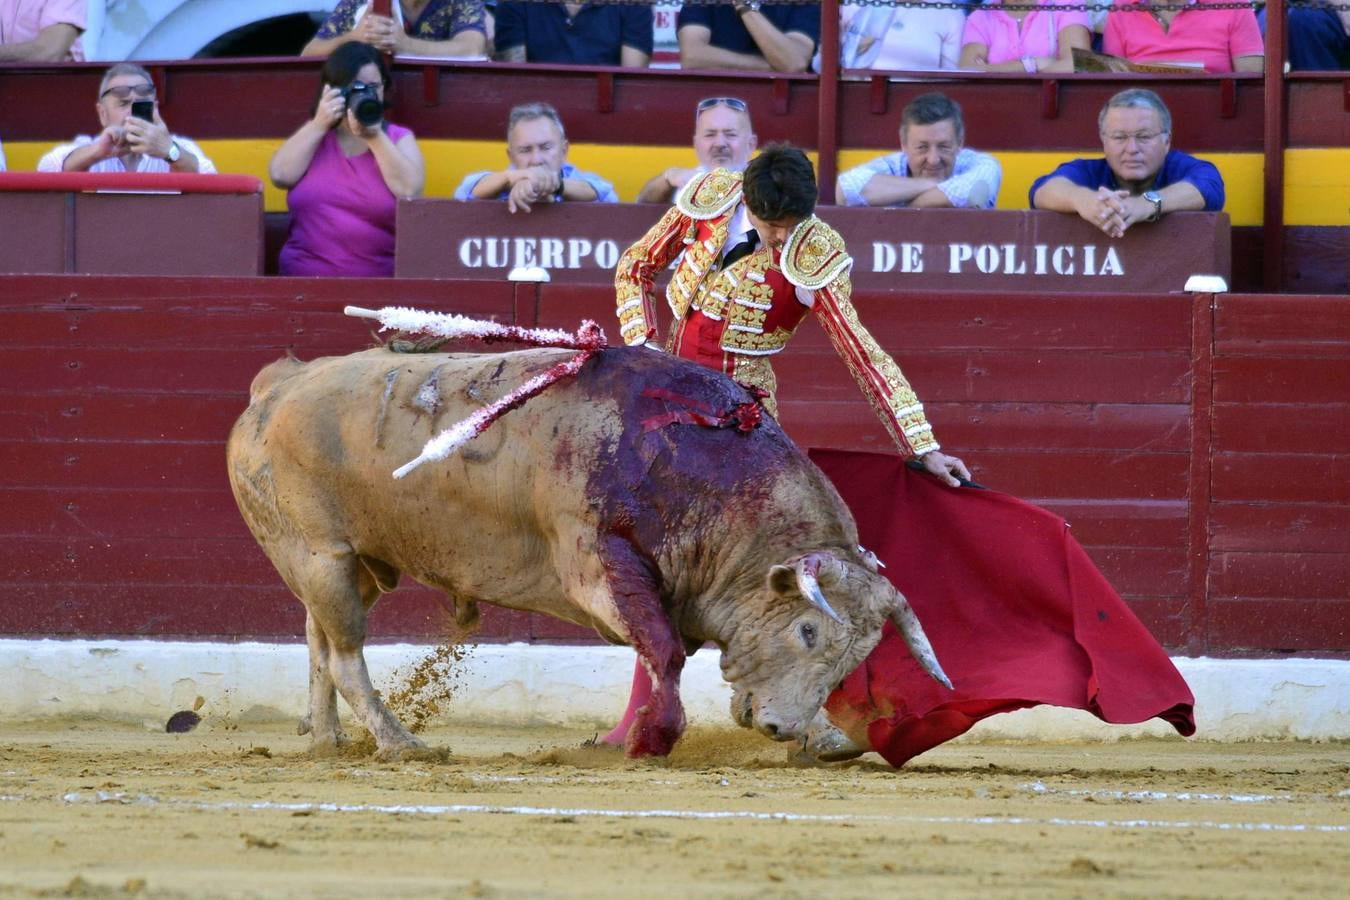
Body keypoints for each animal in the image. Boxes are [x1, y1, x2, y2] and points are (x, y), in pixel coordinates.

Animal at [226, 345, 950, 761]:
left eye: (857, 655)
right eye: (806, 631)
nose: (782, 728)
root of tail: (276, 384)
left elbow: (665, 652)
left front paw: (826, 735)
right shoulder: (597, 565)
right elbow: (666, 651)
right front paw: (652, 739)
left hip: (348, 563)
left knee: (318, 642)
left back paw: (327, 740)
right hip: (319, 554)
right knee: (345, 654)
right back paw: (403, 744)